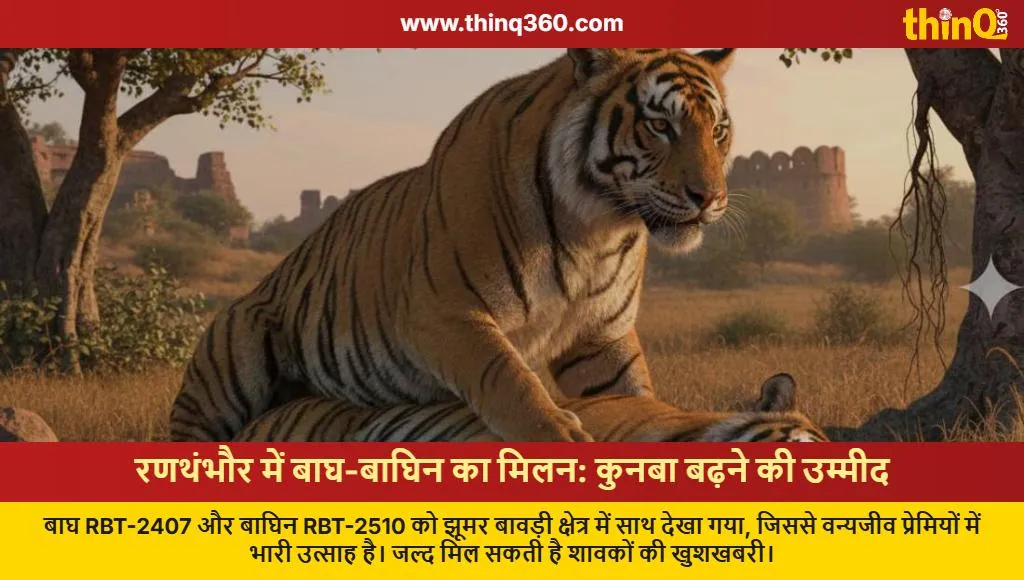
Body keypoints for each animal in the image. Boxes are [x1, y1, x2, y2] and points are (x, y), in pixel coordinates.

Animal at [170, 47, 738, 444]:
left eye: (719, 130)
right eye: (659, 125)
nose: (710, 197)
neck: (597, 228)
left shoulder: (602, 337)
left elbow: (634, 398)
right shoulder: (445, 312)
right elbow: (510, 380)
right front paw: (559, 436)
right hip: (229, 359)